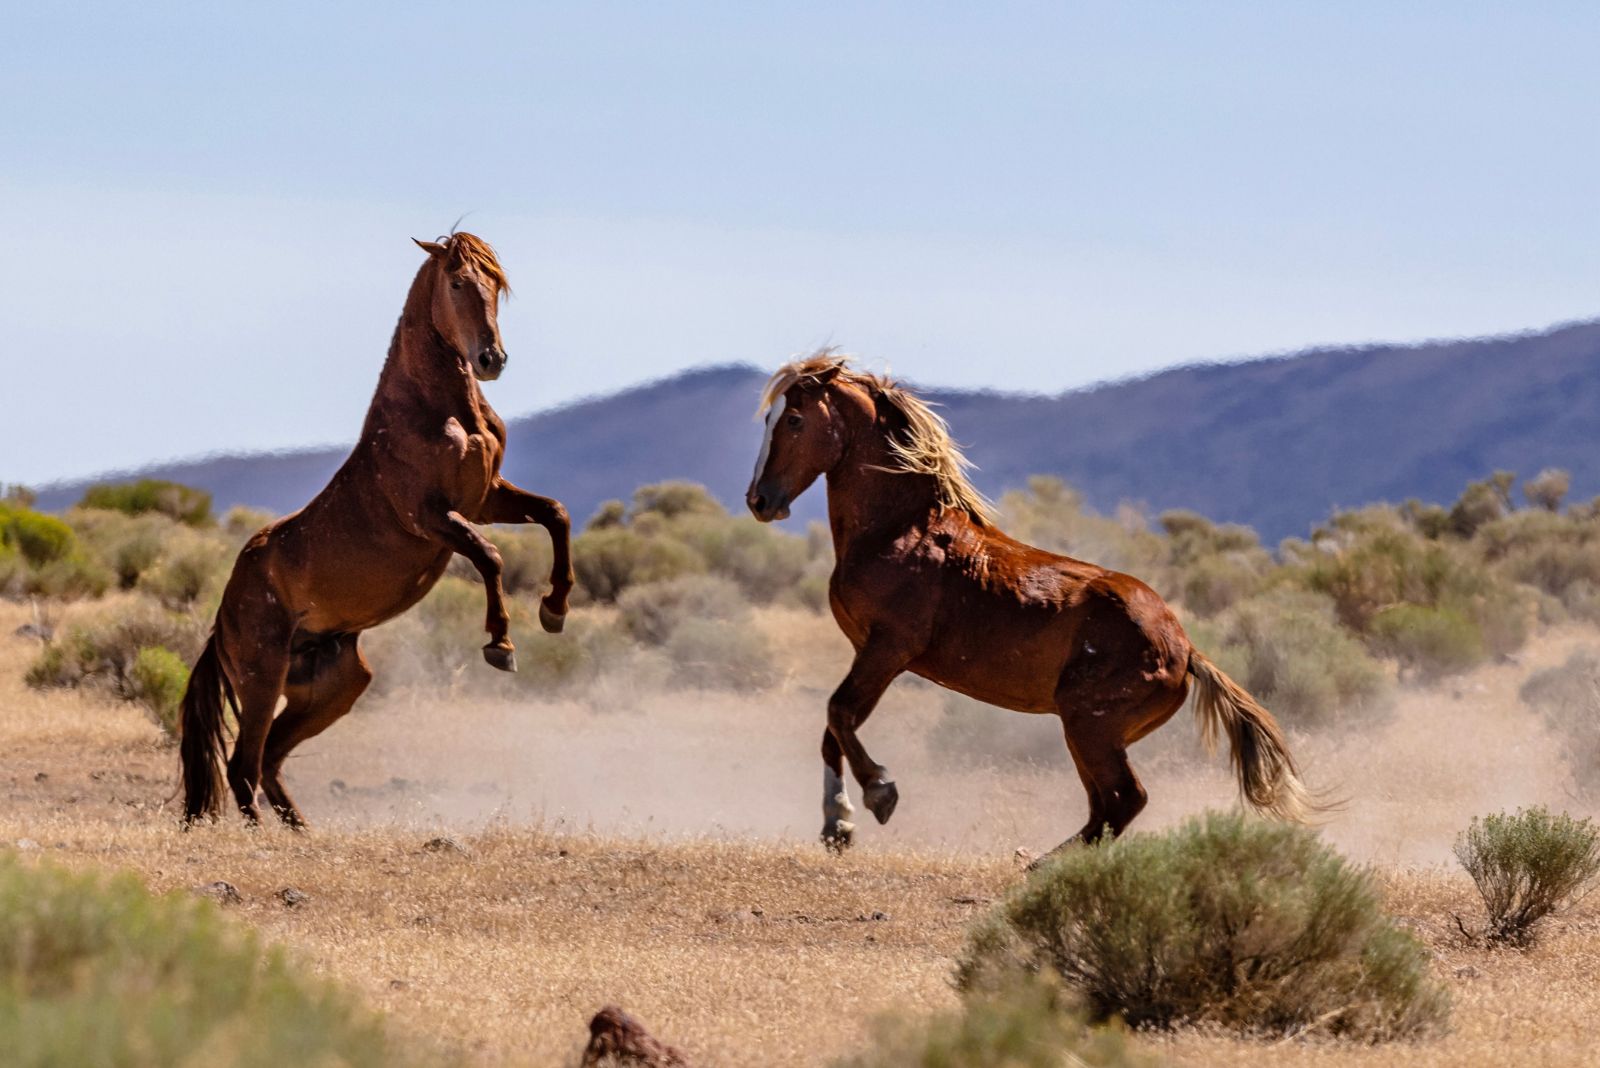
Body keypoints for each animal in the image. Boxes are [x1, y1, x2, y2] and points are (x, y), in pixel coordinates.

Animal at [180, 233, 576, 824]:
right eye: (457, 282)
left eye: (495, 285)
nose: (492, 360)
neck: (439, 411)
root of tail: (221, 621)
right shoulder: (432, 517)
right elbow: (489, 555)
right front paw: (501, 644)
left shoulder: (486, 498)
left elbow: (555, 513)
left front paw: (555, 610)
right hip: (261, 679)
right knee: (242, 766)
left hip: (335, 687)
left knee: (269, 761)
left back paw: (305, 832)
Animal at [745, 351, 1312, 856]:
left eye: (793, 419)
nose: (760, 500)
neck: (898, 529)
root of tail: (1185, 649)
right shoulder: (870, 652)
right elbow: (831, 731)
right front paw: (837, 826)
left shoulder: (888, 648)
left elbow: (838, 714)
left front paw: (879, 794)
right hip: (1092, 733)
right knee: (1106, 807)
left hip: (1089, 727)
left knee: (1124, 801)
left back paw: (1038, 869)